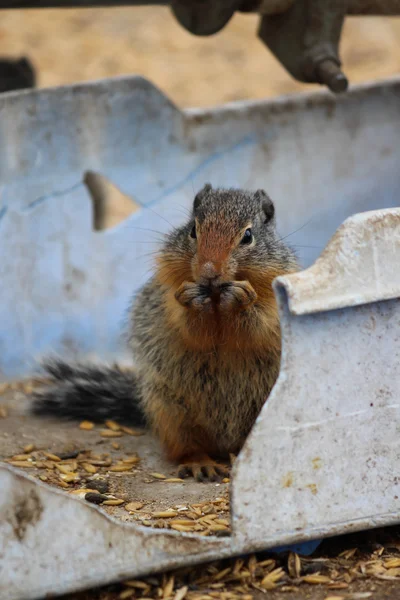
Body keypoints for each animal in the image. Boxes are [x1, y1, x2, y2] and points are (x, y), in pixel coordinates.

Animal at [32, 185, 298, 480]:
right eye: (193, 230)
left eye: (248, 236)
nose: (208, 272)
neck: (217, 301)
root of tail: (224, 444)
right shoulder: (167, 298)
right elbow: (190, 328)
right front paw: (192, 301)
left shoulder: (274, 297)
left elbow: (260, 324)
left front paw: (242, 298)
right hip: (172, 411)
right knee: (187, 447)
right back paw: (200, 463)